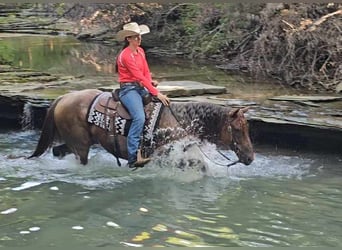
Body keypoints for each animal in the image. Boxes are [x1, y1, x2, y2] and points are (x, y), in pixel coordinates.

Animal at [28, 89, 254, 167]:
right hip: (81, 145)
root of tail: (62, 98)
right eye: (238, 129)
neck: (179, 120)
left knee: (58, 150)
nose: (250, 157)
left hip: (76, 142)